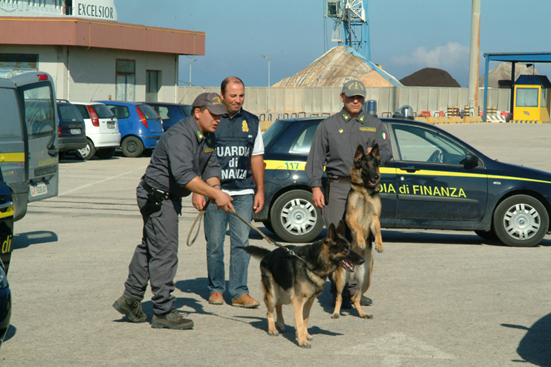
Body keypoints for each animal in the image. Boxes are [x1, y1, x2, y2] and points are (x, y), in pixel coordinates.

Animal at [245, 220, 364, 350]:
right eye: (346, 250)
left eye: (351, 248)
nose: (363, 260)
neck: (313, 263)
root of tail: (268, 254)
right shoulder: (298, 301)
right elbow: (300, 322)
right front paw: (302, 341)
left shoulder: (309, 300)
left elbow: (305, 319)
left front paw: (305, 335)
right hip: (272, 294)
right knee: (269, 312)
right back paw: (272, 329)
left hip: (286, 295)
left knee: (279, 305)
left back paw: (280, 323)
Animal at [332, 142, 384, 320]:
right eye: (365, 166)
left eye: (375, 165)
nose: (375, 177)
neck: (365, 191)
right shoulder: (350, 217)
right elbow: (358, 229)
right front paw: (361, 241)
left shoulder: (375, 219)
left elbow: (379, 231)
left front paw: (379, 244)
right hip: (341, 279)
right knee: (340, 297)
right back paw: (335, 312)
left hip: (366, 279)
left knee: (356, 297)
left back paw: (362, 313)